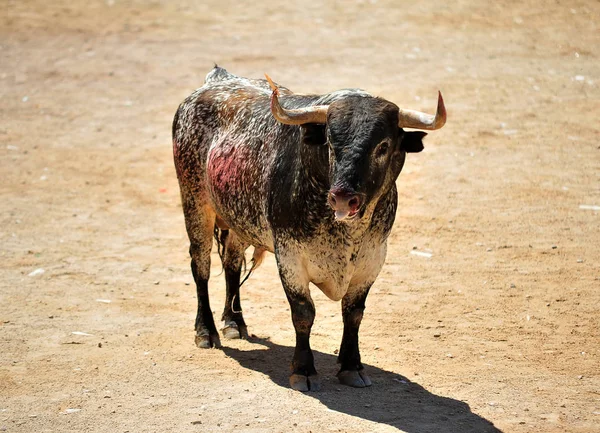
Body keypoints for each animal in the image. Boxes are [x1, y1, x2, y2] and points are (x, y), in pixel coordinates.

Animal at [171, 65, 442, 392]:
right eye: (330, 142)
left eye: (383, 146)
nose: (343, 196)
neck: (345, 232)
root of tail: (216, 80)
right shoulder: (290, 258)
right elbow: (303, 313)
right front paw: (303, 370)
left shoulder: (373, 258)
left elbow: (354, 313)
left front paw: (352, 366)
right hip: (195, 204)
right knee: (201, 267)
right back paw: (206, 331)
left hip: (238, 218)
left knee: (232, 263)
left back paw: (234, 323)